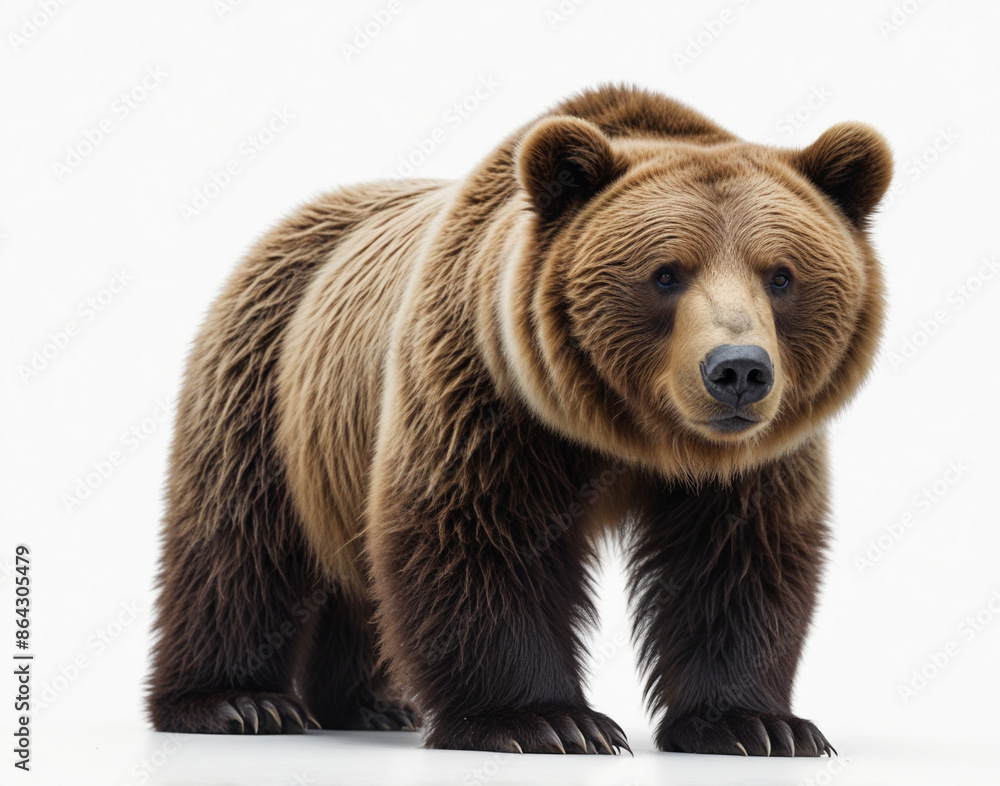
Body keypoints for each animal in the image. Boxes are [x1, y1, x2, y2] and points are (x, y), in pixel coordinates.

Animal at [147, 84, 891, 757]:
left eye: (781, 276)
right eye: (666, 273)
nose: (737, 370)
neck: (629, 432)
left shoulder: (751, 461)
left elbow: (738, 558)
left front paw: (756, 726)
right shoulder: (490, 391)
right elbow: (479, 532)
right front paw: (547, 722)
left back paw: (371, 704)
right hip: (267, 379)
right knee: (239, 544)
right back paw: (238, 702)